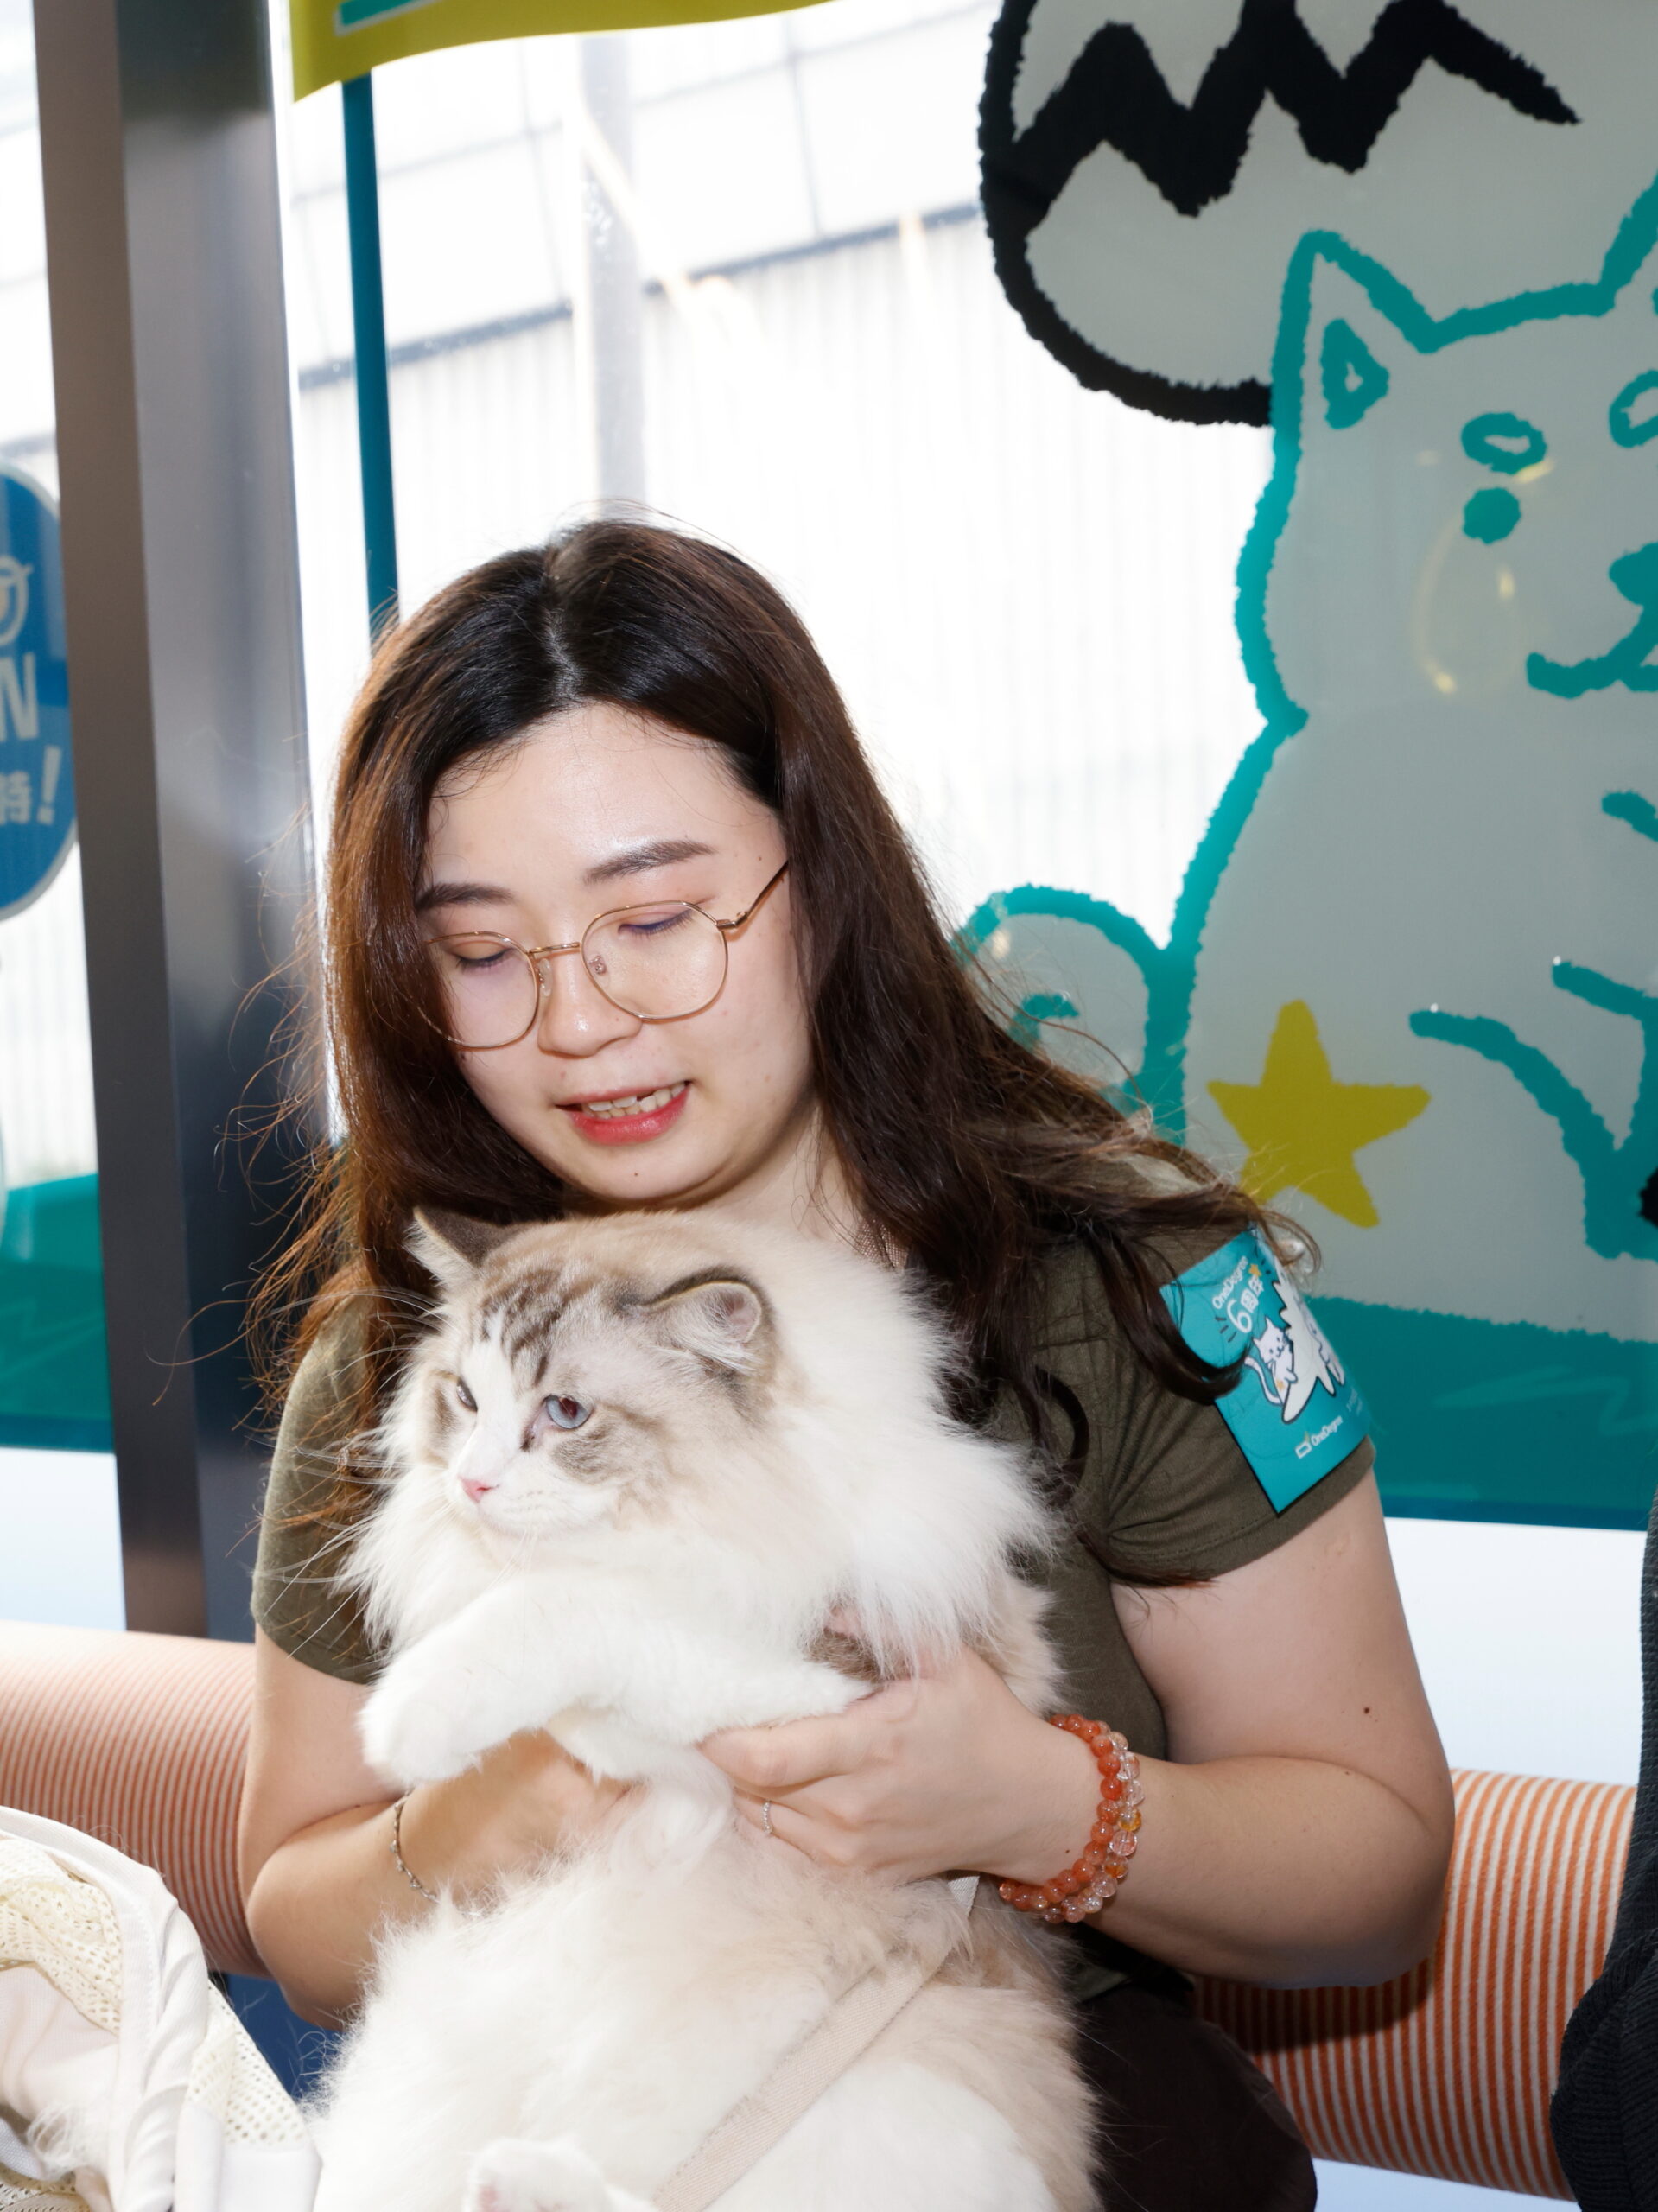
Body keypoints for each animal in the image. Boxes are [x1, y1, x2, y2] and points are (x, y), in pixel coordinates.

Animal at [305, 1208, 1098, 2212]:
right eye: (465, 1399)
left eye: (565, 1414)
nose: (473, 1485)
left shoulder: (833, 1686)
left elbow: (579, 1611)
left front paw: (412, 1716)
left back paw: (520, 2174)